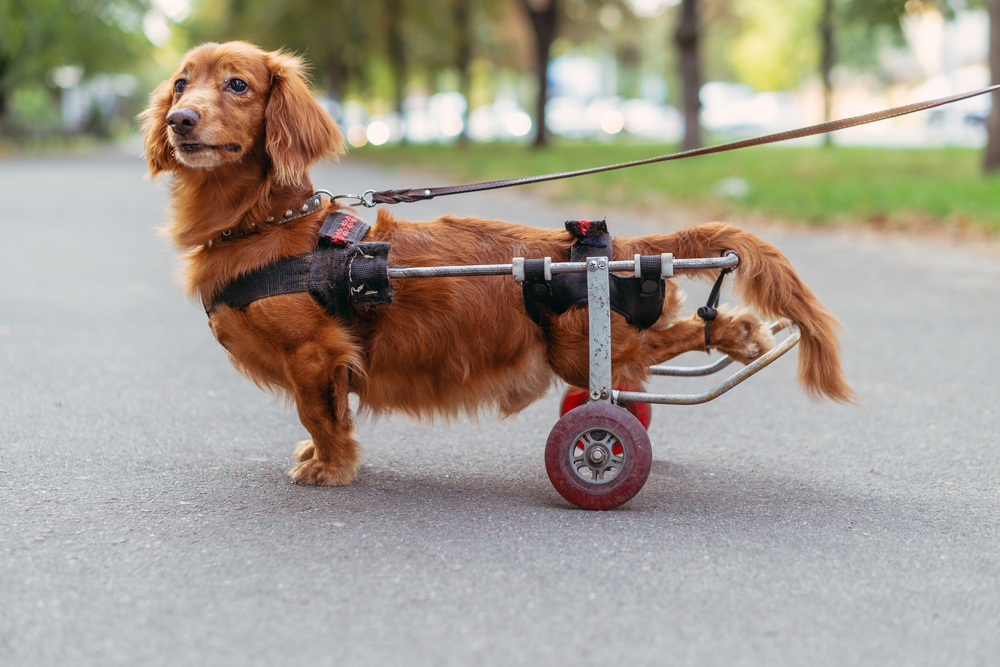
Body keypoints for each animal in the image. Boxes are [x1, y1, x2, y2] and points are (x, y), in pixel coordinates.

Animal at [139, 41, 852, 488]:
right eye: (180, 83)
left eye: (237, 84)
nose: (180, 120)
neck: (269, 224)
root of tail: (620, 247)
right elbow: (324, 416)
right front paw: (322, 456)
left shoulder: (314, 353)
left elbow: (320, 413)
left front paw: (330, 467)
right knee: (634, 372)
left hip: (576, 343)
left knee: (668, 341)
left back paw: (740, 333)